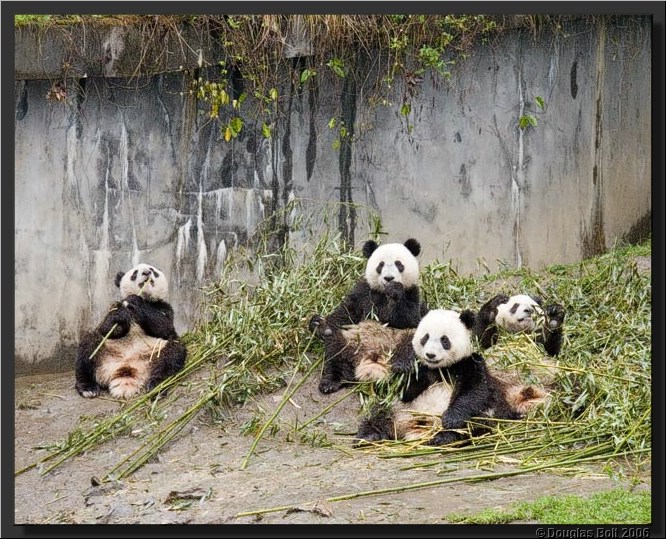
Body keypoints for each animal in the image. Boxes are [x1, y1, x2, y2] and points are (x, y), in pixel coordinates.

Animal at [75, 263, 187, 399]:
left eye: (153, 271)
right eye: (135, 273)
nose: (146, 272)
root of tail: (126, 373)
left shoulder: (163, 307)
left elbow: (165, 327)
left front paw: (136, 301)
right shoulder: (115, 306)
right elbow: (105, 328)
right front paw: (119, 316)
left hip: (156, 351)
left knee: (172, 355)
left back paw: (156, 385)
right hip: (103, 351)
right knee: (88, 346)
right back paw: (88, 387)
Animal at [309, 238, 428, 394]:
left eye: (399, 264)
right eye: (380, 265)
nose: (389, 278)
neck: (385, 293)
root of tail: (373, 356)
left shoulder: (412, 293)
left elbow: (409, 318)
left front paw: (395, 290)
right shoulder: (364, 291)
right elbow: (346, 312)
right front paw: (318, 323)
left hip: (405, 338)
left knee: (411, 344)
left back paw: (400, 363)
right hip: (350, 338)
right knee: (335, 350)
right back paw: (331, 381)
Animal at [355, 309, 547, 446]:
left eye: (444, 340)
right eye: (425, 337)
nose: (430, 355)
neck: (440, 368)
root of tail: (416, 426)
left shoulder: (469, 364)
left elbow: (475, 391)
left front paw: (450, 419)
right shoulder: (423, 371)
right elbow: (406, 390)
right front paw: (406, 369)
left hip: (484, 415)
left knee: (473, 424)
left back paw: (444, 437)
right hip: (397, 409)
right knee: (378, 414)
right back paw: (368, 436)